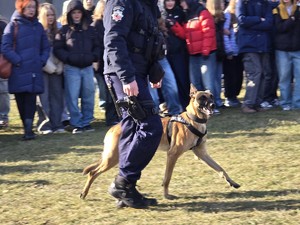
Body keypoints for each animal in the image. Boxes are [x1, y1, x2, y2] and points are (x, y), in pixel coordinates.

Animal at [79, 85, 239, 200]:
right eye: (202, 98)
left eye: (211, 96)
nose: (213, 105)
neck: (192, 120)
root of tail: (114, 127)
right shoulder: (172, 154)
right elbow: (167, 178)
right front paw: (166, 195)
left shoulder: (202, 154)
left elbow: (220, 169)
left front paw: (232, 182)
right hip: (113, 158)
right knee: (93, 172)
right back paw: (85, 193)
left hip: (117, 156)